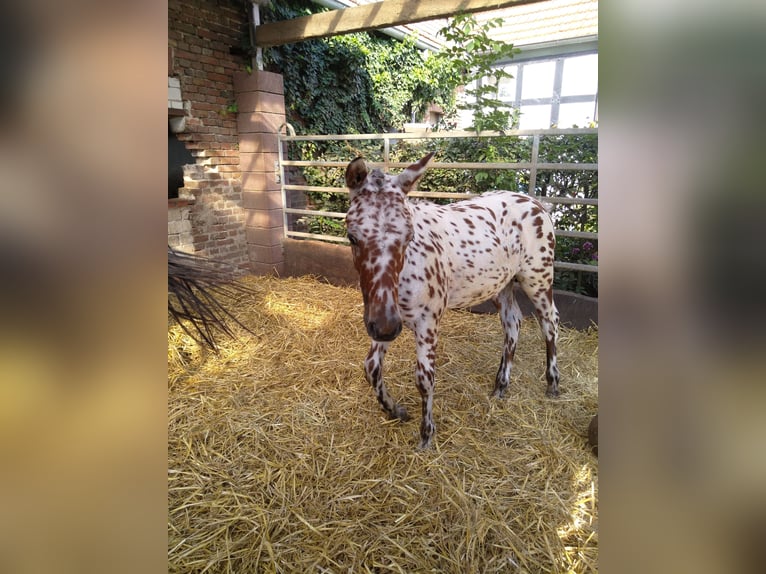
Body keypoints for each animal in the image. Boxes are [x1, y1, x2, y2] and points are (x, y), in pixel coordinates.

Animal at [344, 153, 560, 450]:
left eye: (409, 236)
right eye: (352, 236)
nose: (386, 327)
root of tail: (538, 204)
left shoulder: (427, 322)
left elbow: (424, 379)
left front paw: (426, 435)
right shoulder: (385, 316)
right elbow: (372, 368)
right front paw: (396, 410)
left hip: (538, 279)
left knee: (550, 323)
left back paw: (552, 383)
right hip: (503, 285)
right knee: (513, 323)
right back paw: (500, 386)